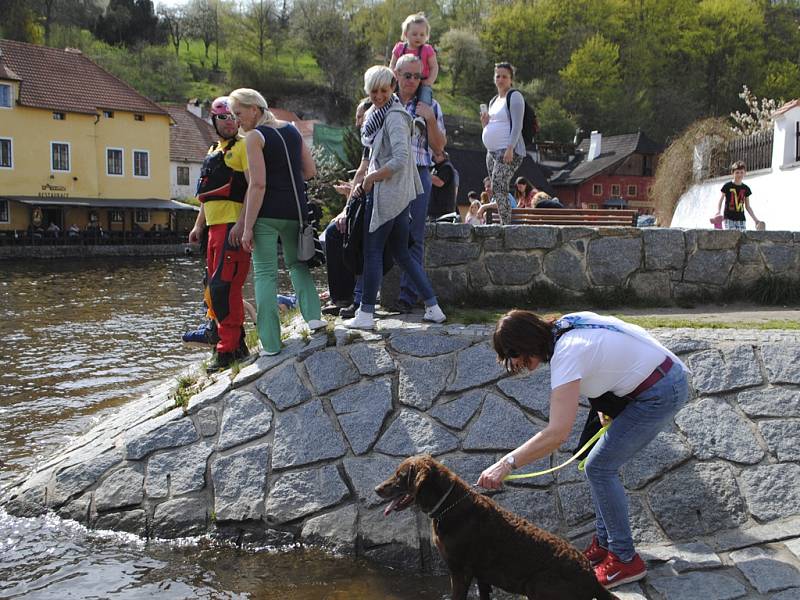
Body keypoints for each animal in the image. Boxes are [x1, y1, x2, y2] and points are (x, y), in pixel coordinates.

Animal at [376, 454, 620, 600]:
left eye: (399, 475)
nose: (377, 489)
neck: (449, 505)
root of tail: (590, 576)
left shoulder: (459, 570)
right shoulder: (481, 573)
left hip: (538, 586)